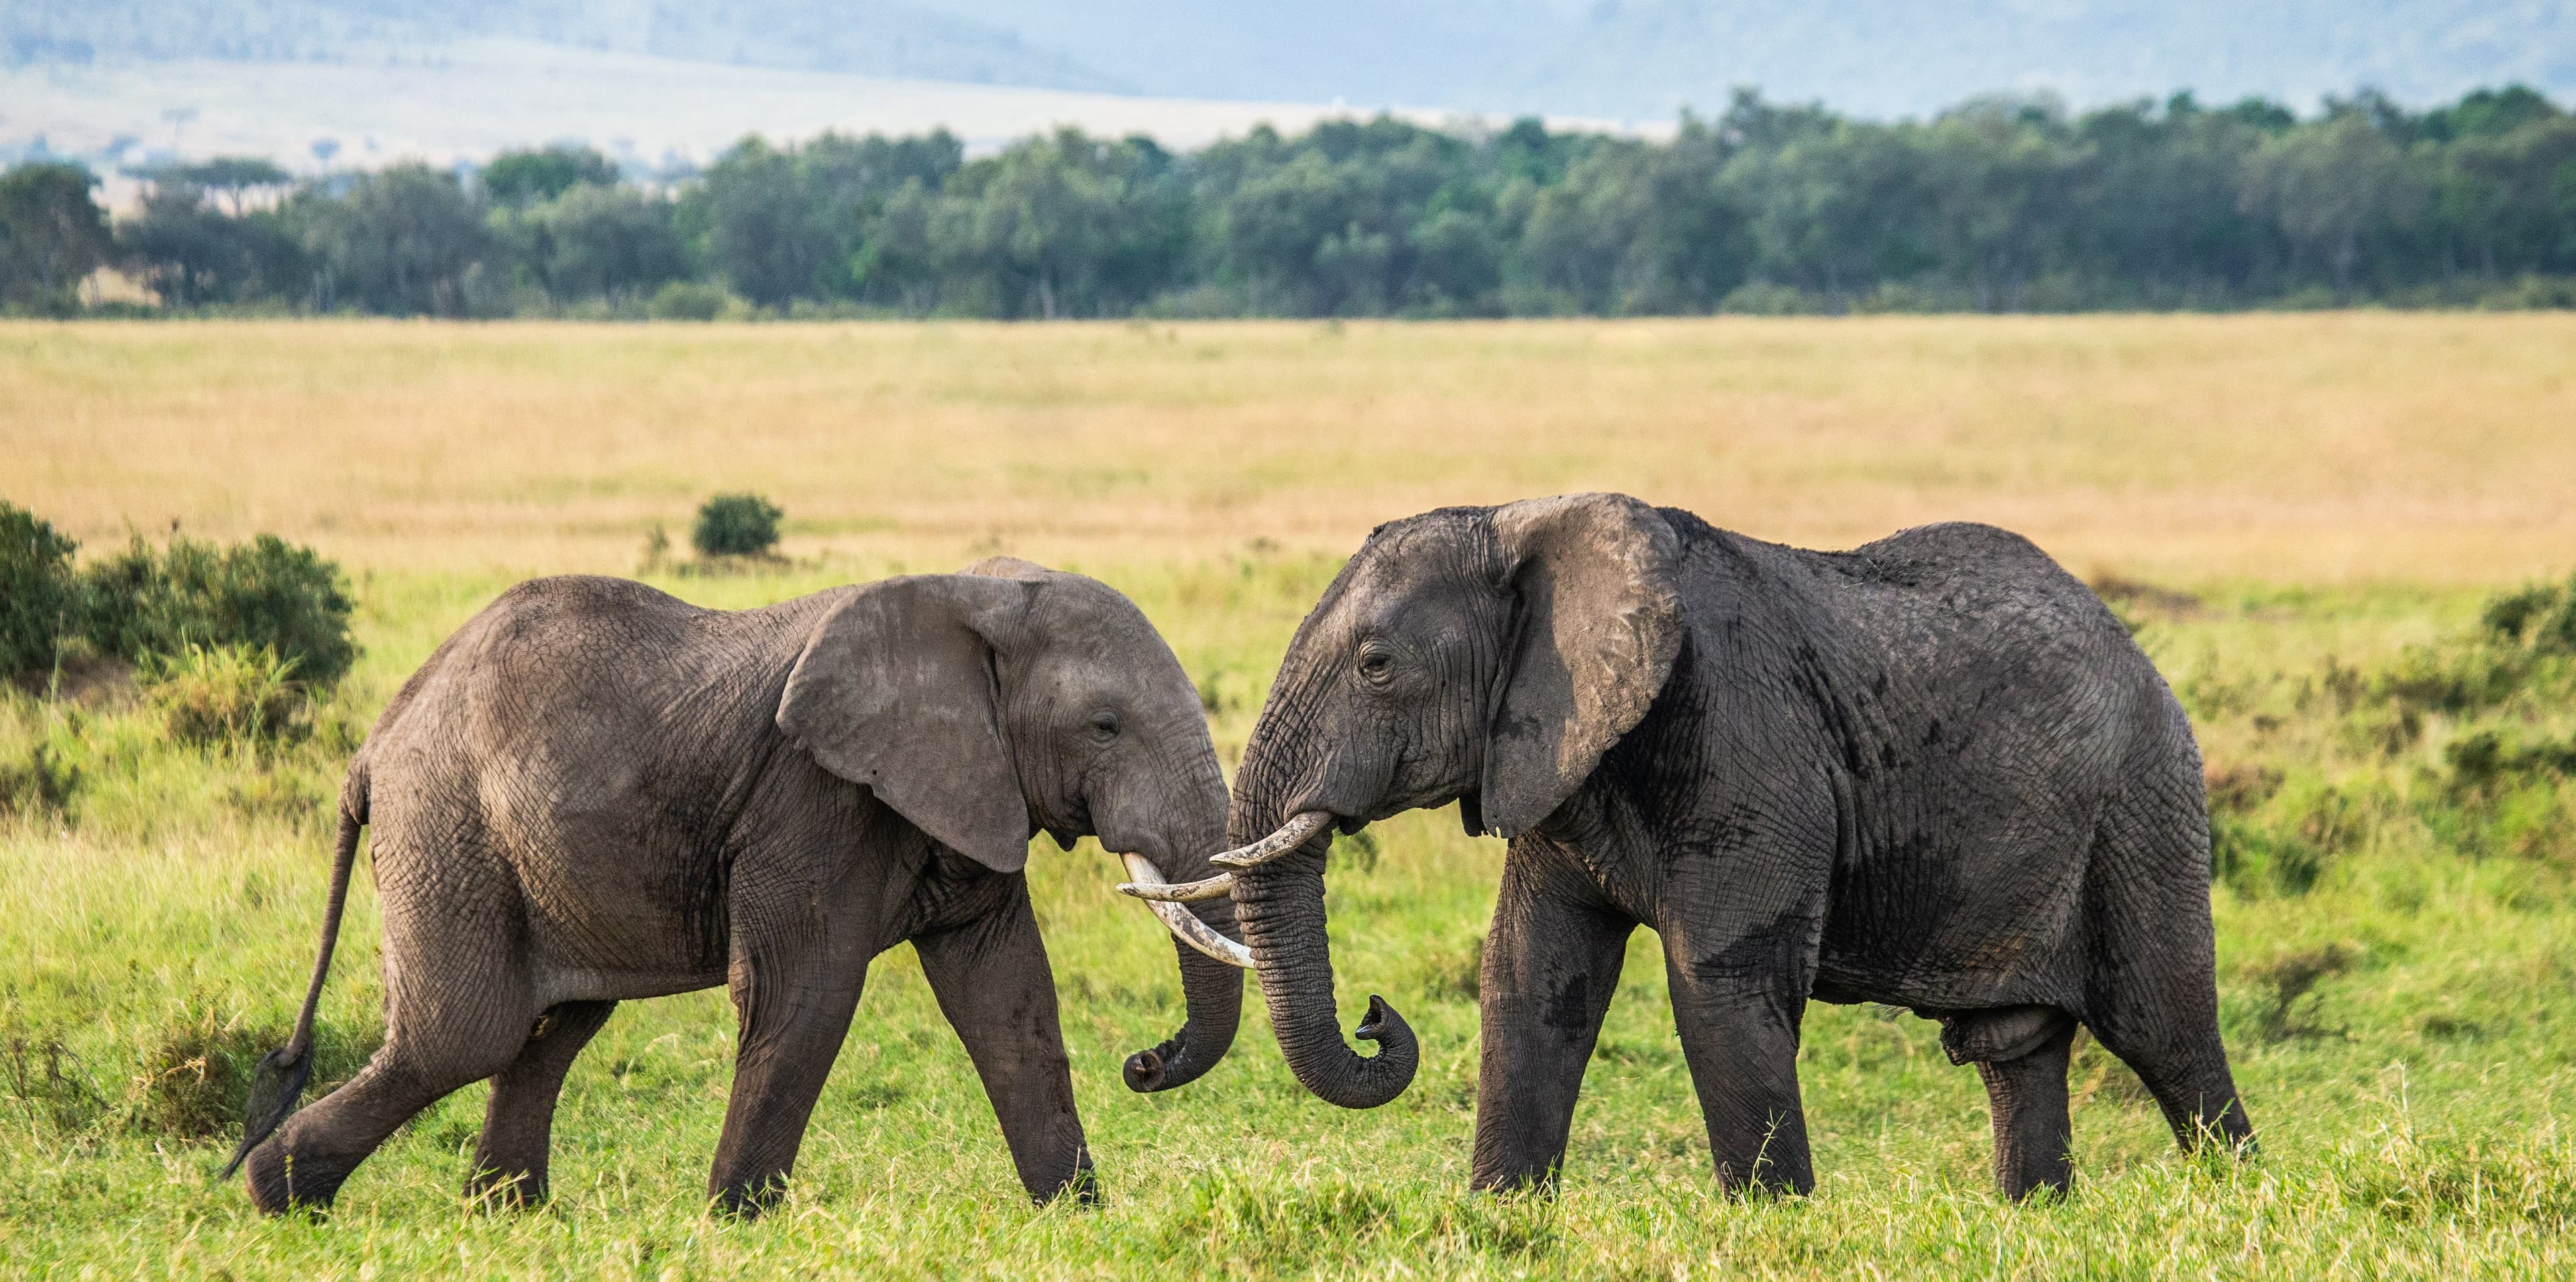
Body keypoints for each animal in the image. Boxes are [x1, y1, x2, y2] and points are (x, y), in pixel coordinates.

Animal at [223, 557, 1253, 1216]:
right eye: (1106, 726)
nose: (1146, 1061)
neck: (972, 593)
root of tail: (375, 741)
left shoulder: (970, 791)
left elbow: (1009, 997)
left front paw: (1075, 1217)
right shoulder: (812, 797)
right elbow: (808, 993)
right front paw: (734, 1223)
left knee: (550, 1029)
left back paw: (502, 1213)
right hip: (450, 825)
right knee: (462, 1034)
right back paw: (278, 1197)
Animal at [1201, 493, 2253, 1199]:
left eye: (1377, 667)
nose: (1377, 1014)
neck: (1521, 518)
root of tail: (2138, 653)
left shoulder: (1744, 739)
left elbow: (1718, 980)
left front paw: (1772, 1219)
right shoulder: (1554, 754)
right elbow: (1532, 974)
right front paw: (1503, 1216)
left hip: (2143, 805)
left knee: (2166, 1029)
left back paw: (2234, 1197)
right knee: (2015, 1045)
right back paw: (2033, 1214)